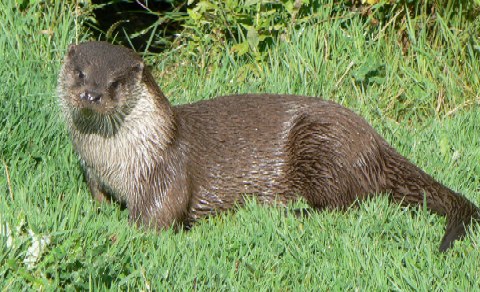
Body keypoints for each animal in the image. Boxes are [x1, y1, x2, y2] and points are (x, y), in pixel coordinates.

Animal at [58, 41, 478, 251]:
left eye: (115, 83)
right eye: (80, 73)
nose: (92, 94)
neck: (116, 160)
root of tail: (374, 140)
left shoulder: (165, 172)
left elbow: (157, 218)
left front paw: (116, 236)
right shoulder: (92, 171)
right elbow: (97, 196)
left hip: (323, 143)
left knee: (348, 203)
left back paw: (291, 213)